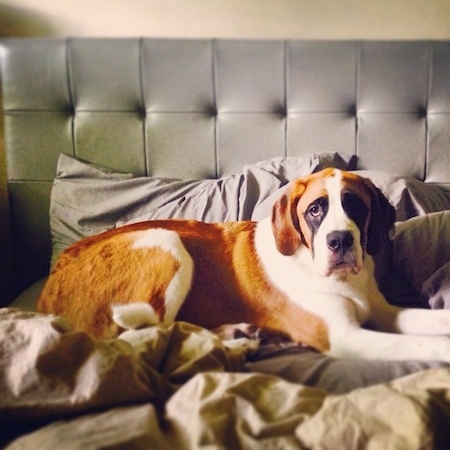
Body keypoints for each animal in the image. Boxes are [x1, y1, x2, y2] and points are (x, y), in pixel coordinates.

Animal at [36, 169, 450, 362]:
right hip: (167, 242)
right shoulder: (345, 337)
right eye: (315, 210)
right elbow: (424, 345)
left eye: (355, 206)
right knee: (146, 339)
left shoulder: (385, 312)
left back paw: (240, 336)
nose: (340, 242)